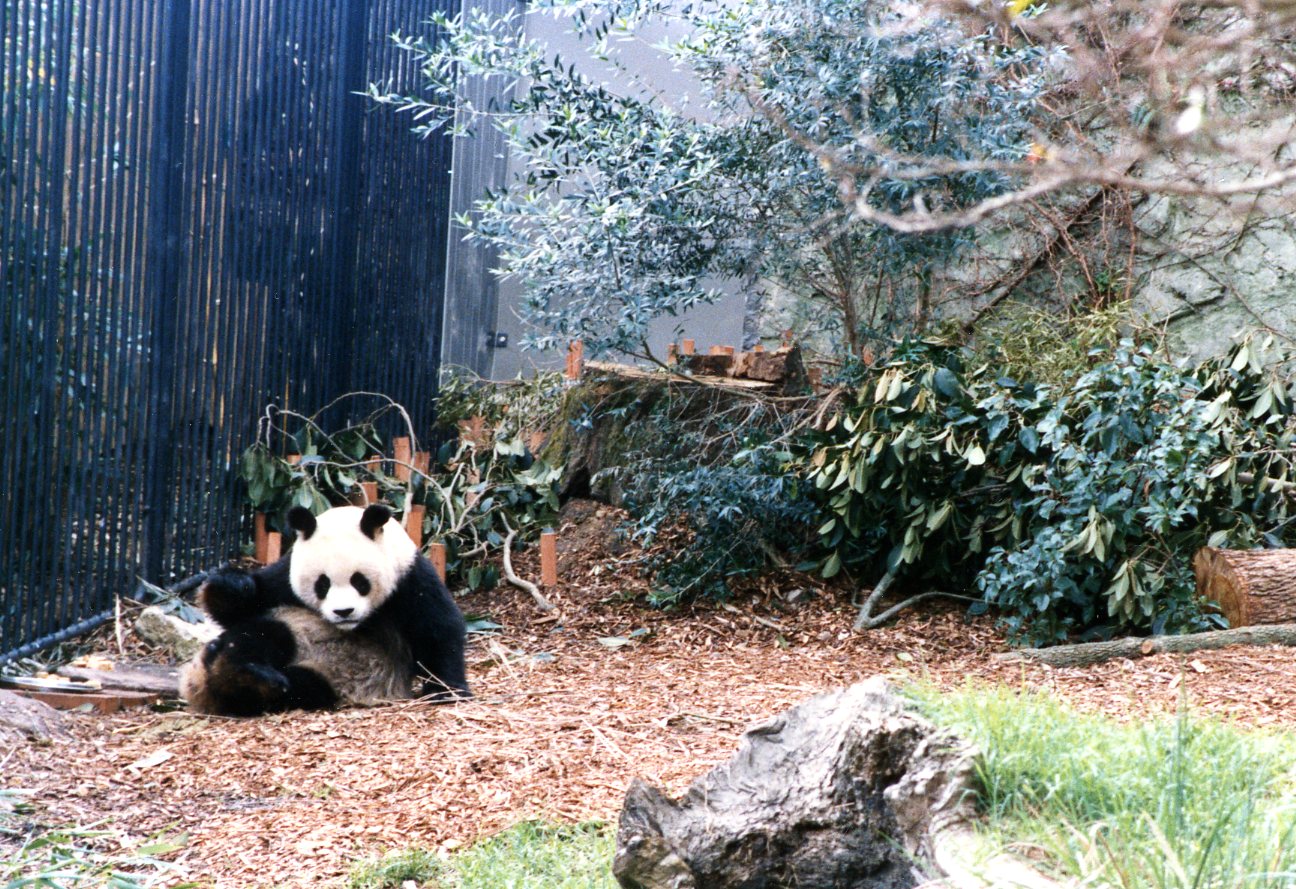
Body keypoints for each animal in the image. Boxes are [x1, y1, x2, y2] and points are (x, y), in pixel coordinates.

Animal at [181, 503, 470, 716]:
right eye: (322, 584)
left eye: (360, 581)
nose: (344, 612)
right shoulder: (284, 580)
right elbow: (242, 608)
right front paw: (231, 585)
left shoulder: (409, 579)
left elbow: (437, 631)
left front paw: (448, 691)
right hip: (290, 627)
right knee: (262, 634)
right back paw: (237, 673)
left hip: (333, 681)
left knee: (300, 686)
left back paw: (247, 682)